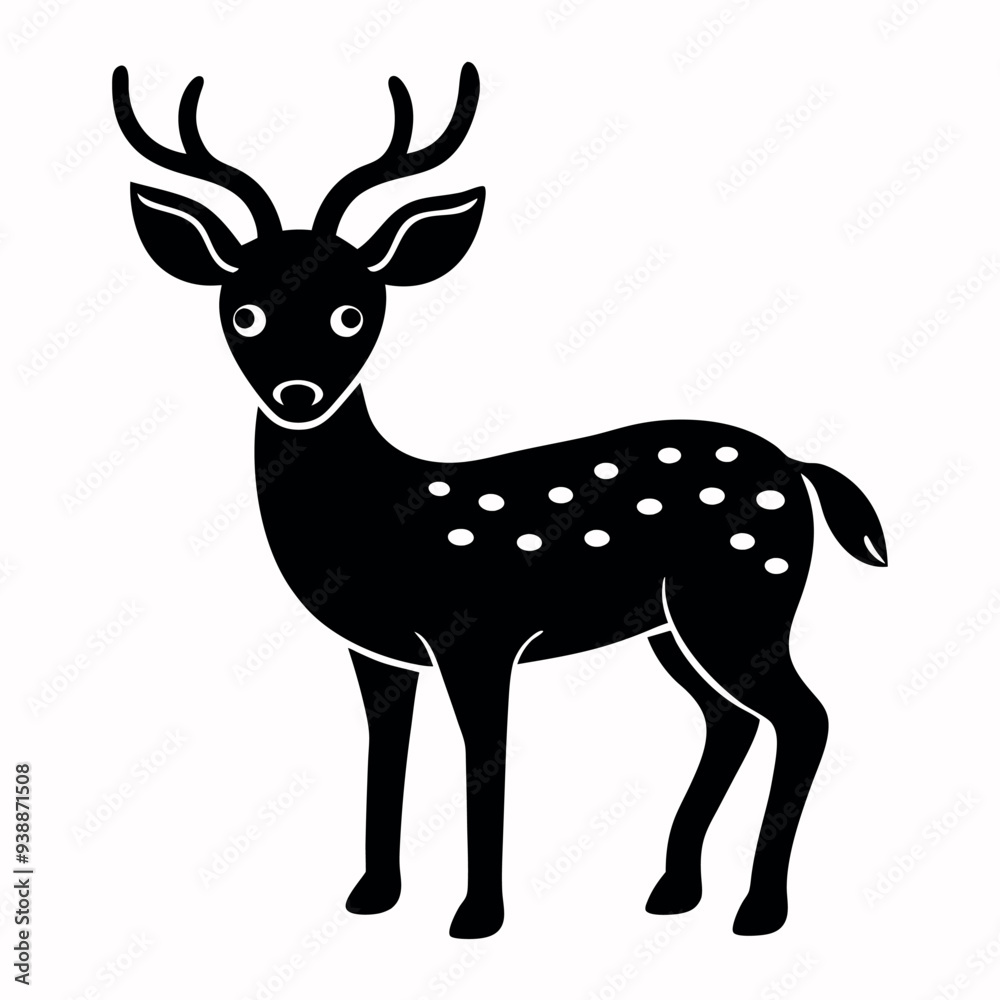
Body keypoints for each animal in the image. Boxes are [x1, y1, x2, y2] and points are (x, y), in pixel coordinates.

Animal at [111, 61, 887, 940]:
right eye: (242, 311)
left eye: (353, 311)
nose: (298, 392)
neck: (375, 512)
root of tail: (798, 468)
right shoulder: (380, 653)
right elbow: (387, 757)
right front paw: (372, 894)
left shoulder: (479, 635)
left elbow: (487, 764)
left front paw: (477, 915)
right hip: (677, 624)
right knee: (729, 721)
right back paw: (673, 889)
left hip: (743, 596)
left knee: (805, 717)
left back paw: (759, 909)